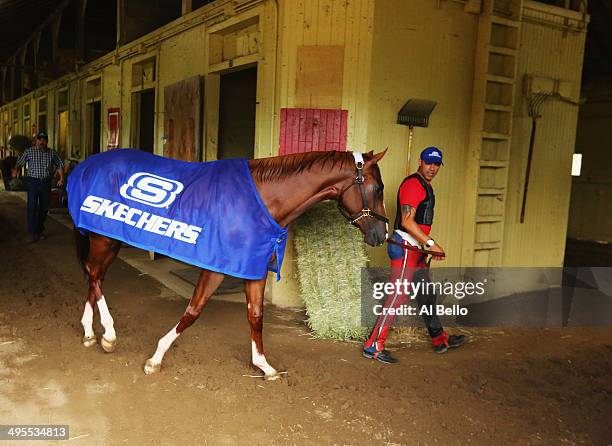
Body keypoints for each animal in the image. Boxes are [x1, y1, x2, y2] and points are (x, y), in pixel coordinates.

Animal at [73, 151, 388, 380]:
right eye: (377, 188)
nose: (381, 235)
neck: (261, 201)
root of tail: (89, 164)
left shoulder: (253, 268)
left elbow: (256, 315)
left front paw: (264, 365)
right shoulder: (216, 268)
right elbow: (193, 311)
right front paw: (156, 358)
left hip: (110, 239)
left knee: (94, 276)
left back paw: (90, 333)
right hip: (103, 239)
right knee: (94, 275)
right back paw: (109, 335)